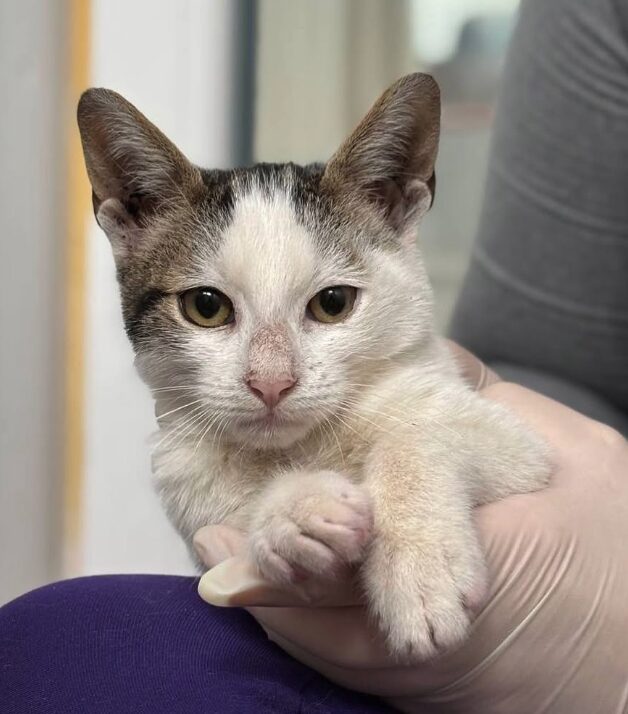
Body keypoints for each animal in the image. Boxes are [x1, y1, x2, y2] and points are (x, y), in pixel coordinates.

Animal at [77, 72, 548, 656]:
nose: (271, 382)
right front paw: (296, 513)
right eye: (206, 307)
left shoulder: (520, 447)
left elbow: (421, 436)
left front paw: (419, 564)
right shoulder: (190, 492)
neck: (308, 446)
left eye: (333, 303)